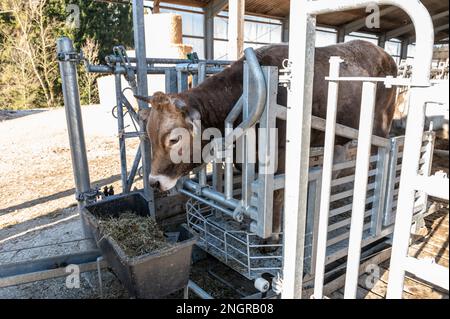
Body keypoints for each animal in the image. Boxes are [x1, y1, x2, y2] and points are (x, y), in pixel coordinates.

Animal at [135, 39, 396, 240]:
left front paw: (271, 238)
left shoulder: (279, 156)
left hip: (380, 128)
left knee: (377, 163)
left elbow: (275, 196)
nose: (154, 182)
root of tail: (382, 52)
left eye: (173, 140)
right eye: (149, 135)